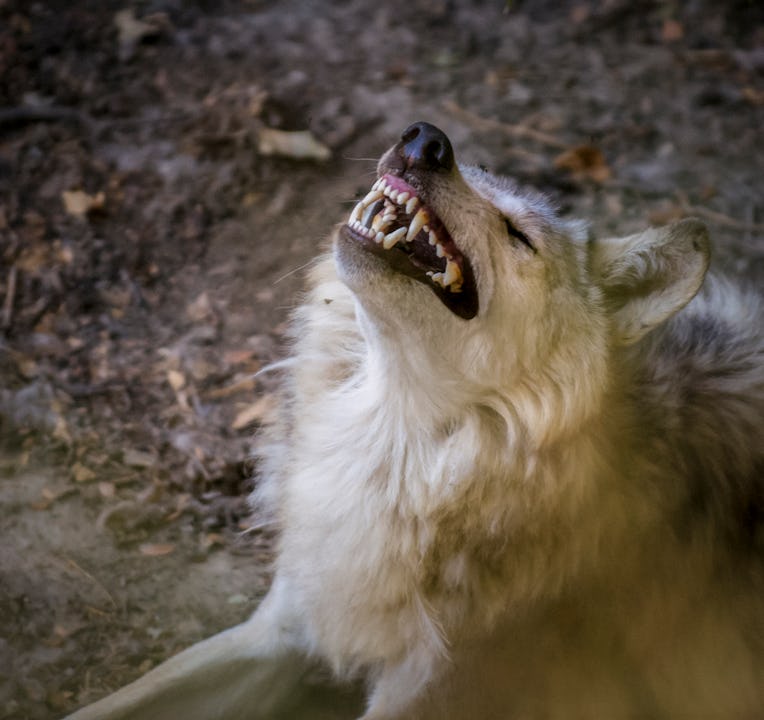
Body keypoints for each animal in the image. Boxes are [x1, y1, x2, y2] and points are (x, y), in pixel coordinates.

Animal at [66, 122, 763, 719]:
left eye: (517, 234)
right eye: (467, 169)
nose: (426, 140)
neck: (392, 450)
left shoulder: (429, 695)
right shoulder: (285, 626)